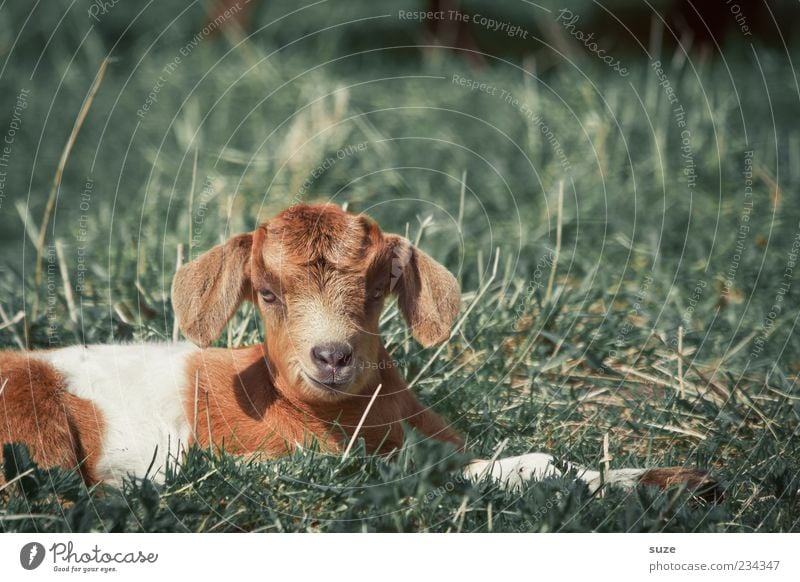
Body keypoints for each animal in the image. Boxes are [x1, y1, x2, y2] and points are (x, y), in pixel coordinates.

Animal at [0, 204, 716, 502]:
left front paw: (681, 482)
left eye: (377, 289)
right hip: (33, 423)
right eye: (267, 293)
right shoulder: (298, 461)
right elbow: (519, 467)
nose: (332, 357)